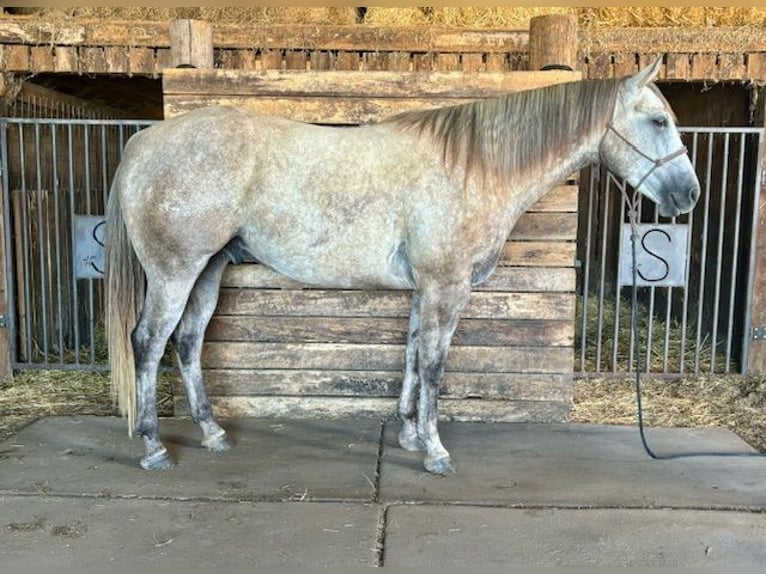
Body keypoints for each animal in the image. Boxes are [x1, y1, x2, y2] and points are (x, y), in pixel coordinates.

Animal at [106, 59, 704, 476]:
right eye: (658, 120)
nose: (690, 195)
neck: (472, 168)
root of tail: (144, 141)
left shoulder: (425, 287)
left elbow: (414, 355)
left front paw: (410, 435)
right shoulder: (447, 285)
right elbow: (436, 364)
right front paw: (435, 451)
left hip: (207, 270)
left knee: (187, 342)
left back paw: (212, 433)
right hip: (174, 272)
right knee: (148, 342)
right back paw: (154, 447)